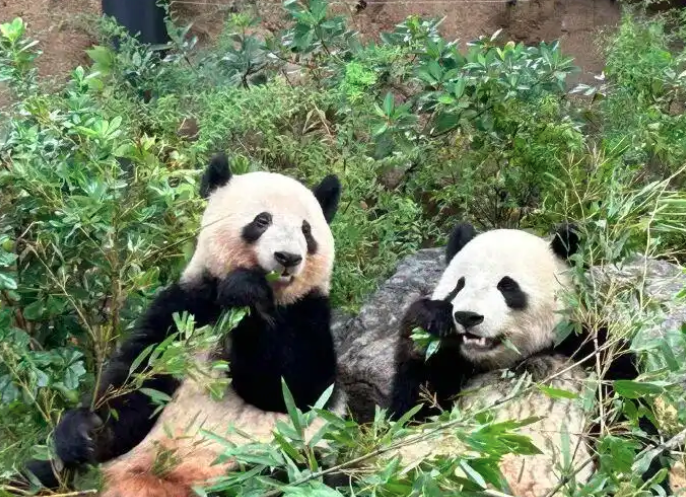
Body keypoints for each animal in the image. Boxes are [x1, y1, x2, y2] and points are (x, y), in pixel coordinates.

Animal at [18, 153, 346, 497]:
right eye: (262, 220)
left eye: (306, 230)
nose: (288, 258)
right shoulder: (185, 307)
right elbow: (137, 381)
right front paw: (85, 433)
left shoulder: (308, 312)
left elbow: (293, 387)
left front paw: (246, 292)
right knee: (39, 473)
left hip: (273, 461)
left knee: (290, 476)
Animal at [385, 223, 678, 495]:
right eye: (459, 285)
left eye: (507, 286)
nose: (467, 317)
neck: (514, 362)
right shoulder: (455, 371)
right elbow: (410, 414)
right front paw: (431, 319)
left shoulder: (592, 352)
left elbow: (633, 430)